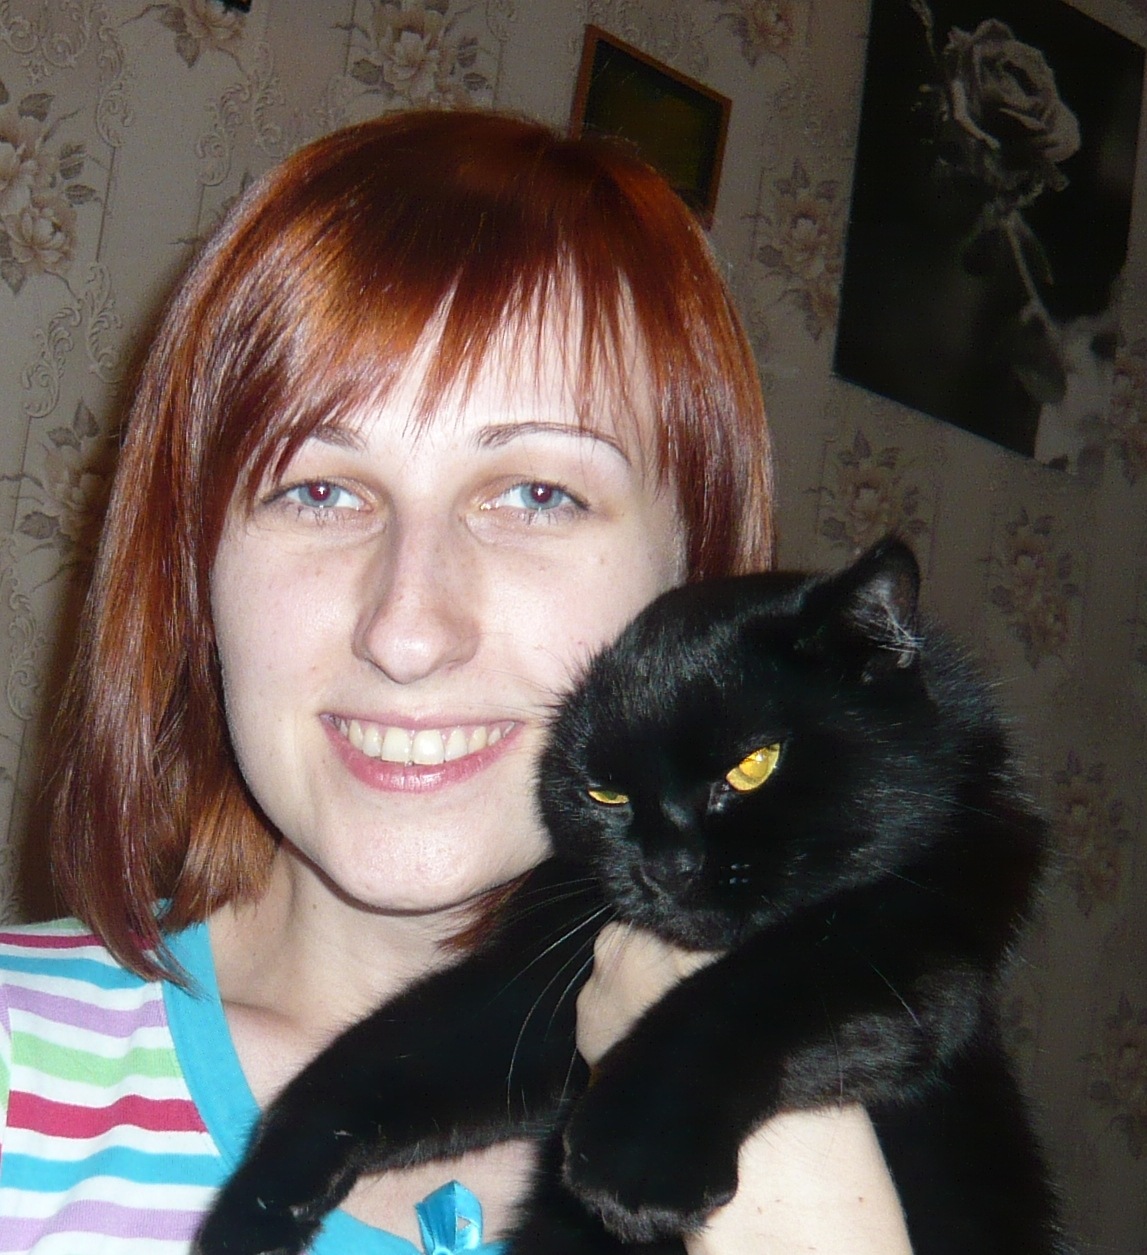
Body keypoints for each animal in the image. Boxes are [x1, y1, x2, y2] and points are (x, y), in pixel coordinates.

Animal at [195, 538, 1070, 1255]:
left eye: (753, 765)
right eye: (605, 793)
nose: (666, 866)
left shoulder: (902, 953)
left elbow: (740, 995)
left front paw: (634, 1162)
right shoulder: (535, 1001)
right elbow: (385, 1054)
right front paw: (255, 1204)